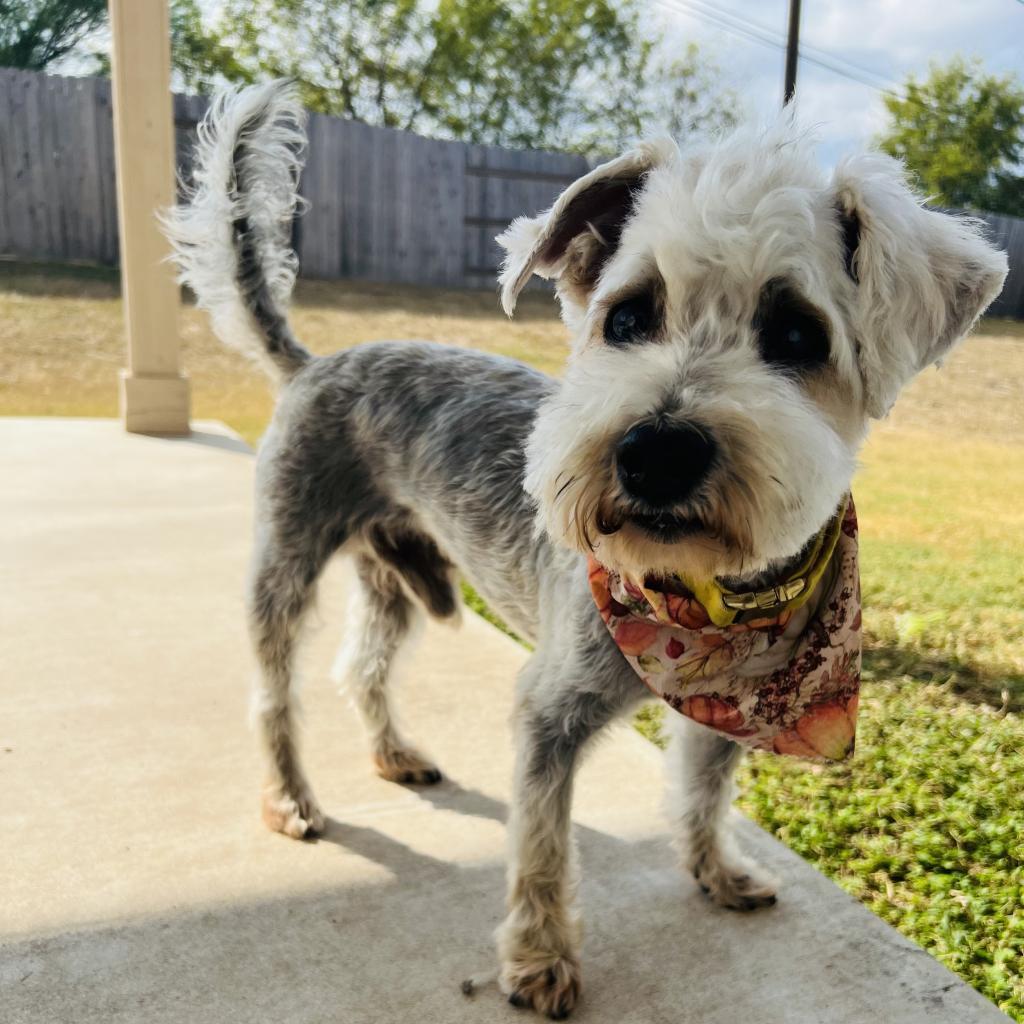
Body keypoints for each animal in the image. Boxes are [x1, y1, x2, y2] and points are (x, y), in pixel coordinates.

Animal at [167, 83, 1007, 1019]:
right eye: (628, 317)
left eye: (797, 336)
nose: (655, 452)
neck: (698, 600)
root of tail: (314, 362)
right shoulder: (550, 714)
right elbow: (541, 848)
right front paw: (539, 961)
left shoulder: (727, 706)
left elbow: (703, 792)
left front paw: (715, 869)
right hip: (287, 559)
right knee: (274, 692)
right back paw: (290, 797)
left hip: (396, 575)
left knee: (363, 665)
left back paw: (393, 754)